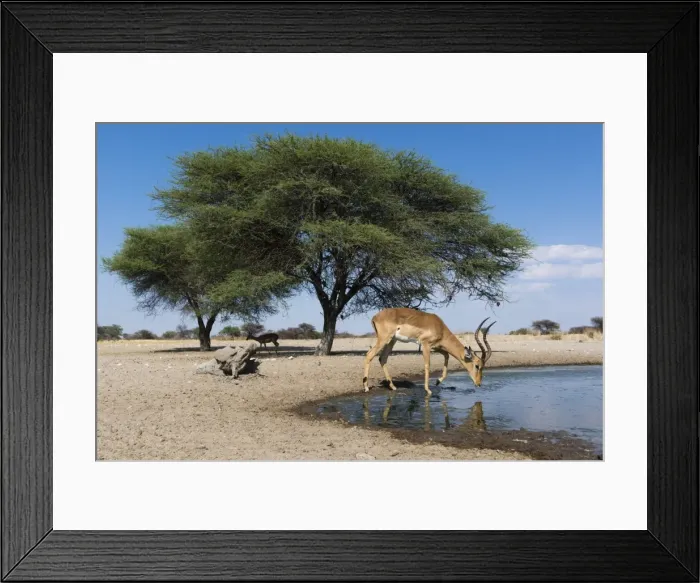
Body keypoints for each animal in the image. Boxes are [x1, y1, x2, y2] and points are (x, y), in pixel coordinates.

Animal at [362, 307, 495, 395]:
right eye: (477, 366)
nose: (479, 383)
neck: (440, 327)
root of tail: (375, 317)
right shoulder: (426, 345)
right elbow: (427, 364)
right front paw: (428, 390)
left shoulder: (437, 347)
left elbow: (447, 356)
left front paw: (437, 381)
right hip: (384, 339)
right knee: (369, 355)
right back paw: (366, 387)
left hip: (392, 340)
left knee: (382, 358)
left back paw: (393, 387)